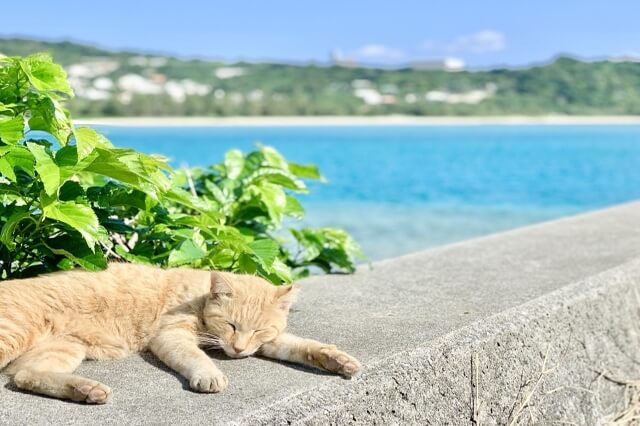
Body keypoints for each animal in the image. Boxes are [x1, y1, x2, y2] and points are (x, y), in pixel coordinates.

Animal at [0, 262, 360, 404]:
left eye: (258, 330)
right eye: (231, 325)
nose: (239, 350)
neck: (198, 296)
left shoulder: (269, 342)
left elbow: (301, 346)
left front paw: (336, 359)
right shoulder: (170, 336)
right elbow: (193, 356)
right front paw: (209, 374)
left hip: (64, 348)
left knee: (24, 376)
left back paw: (86, 390)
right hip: (13, 336)